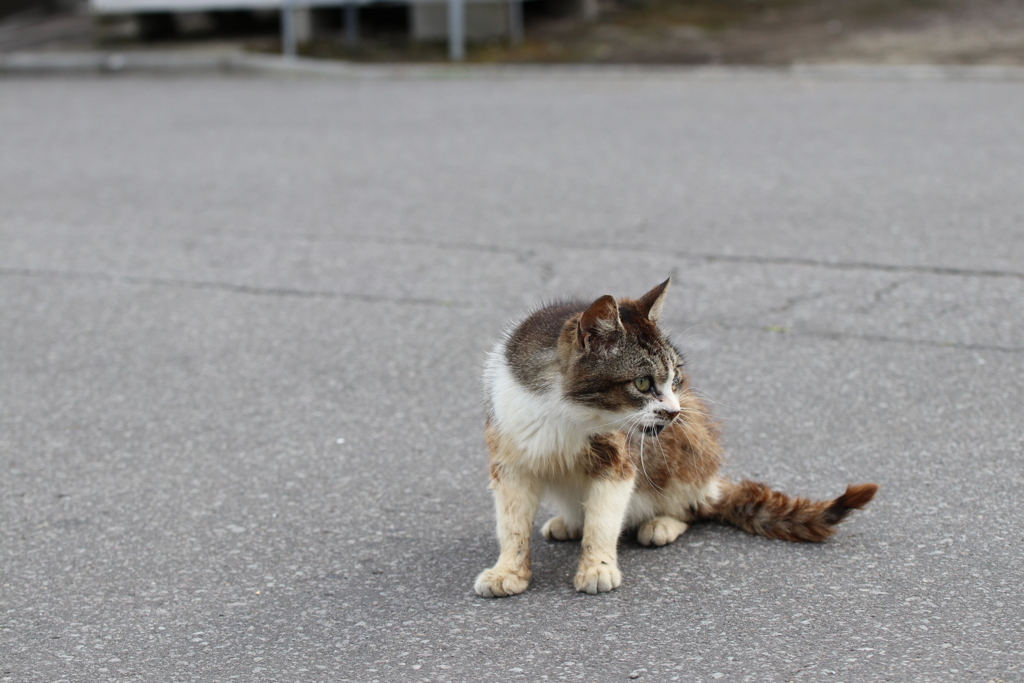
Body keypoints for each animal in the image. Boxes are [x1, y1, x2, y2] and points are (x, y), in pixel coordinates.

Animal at [475, 278, 876, 598]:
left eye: (675, 377)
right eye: (642, 383)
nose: (674, 410)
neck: (564, 412)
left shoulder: (619, 458)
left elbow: (604, 519)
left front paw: (597, 566)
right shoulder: (509, 459)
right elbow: (511, 522)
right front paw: (508, 570)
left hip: (691, 447)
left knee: (695, 507)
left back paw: (662, 523)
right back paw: (571, 521)